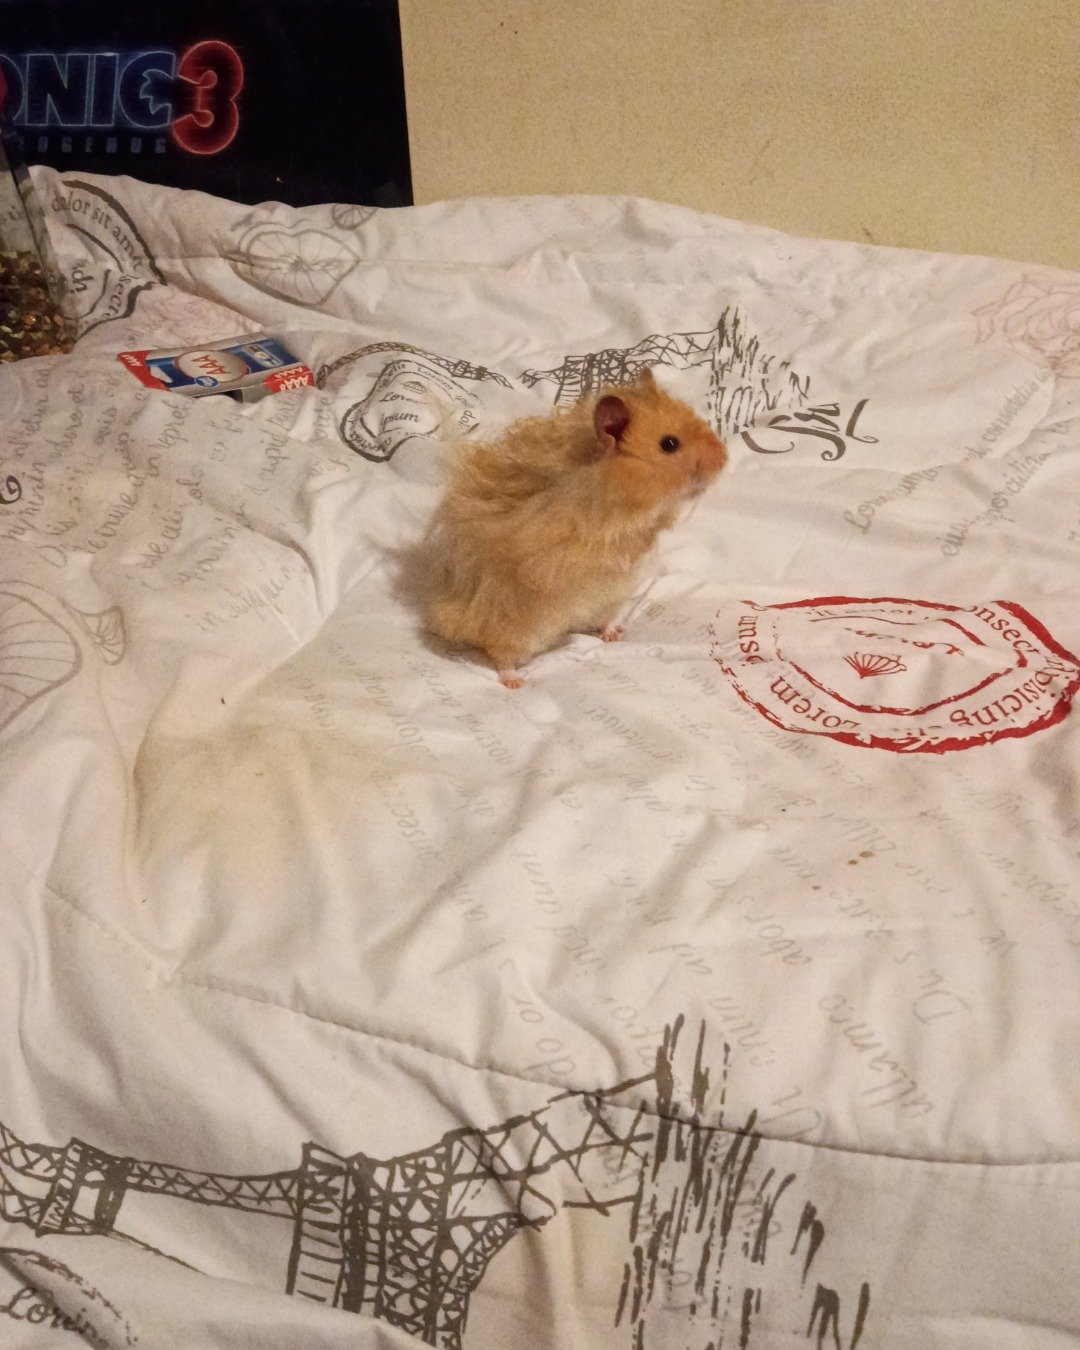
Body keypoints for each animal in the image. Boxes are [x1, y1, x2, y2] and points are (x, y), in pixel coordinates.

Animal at [420, 367, 727, 687]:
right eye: (669, 444)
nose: (724, 457)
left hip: (602, 603)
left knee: (601, 621)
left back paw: (616, 634)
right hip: (512, 623)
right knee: (499, 653)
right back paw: (516, 683)